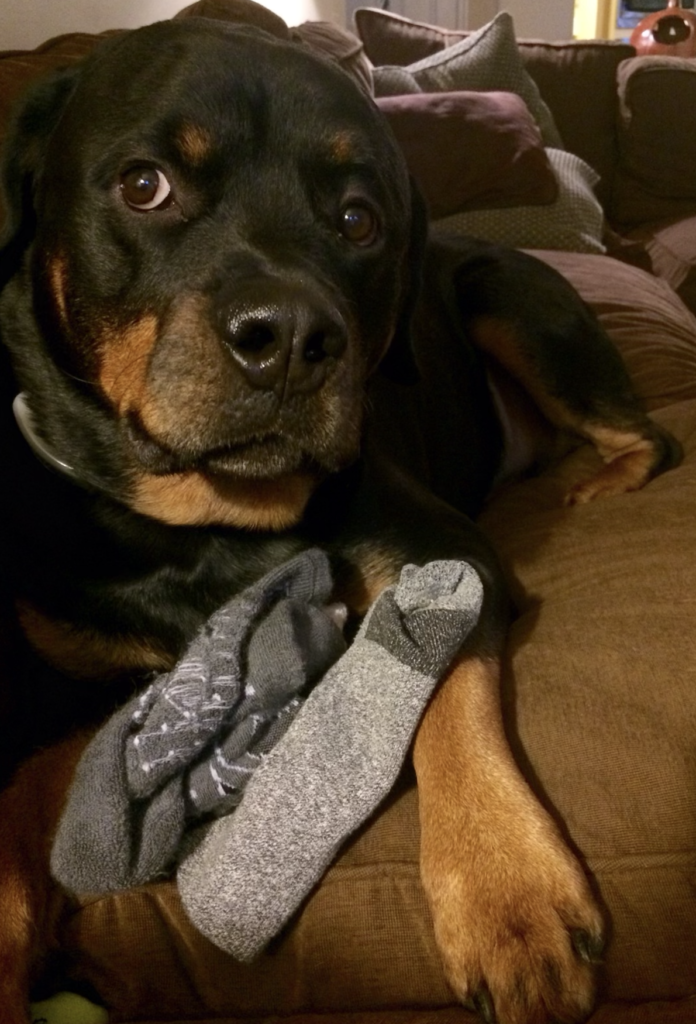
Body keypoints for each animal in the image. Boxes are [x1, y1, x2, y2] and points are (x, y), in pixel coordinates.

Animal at [0, 18, 681, 1024]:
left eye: (359, 219)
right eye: (143, 185)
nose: (288, 337)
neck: (208, 524)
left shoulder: (448, 555)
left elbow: (444, 689)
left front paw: (508, 893)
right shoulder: (66, 679)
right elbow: (16, 785)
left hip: (512, 303)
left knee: (648, 435)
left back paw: (603, 481)